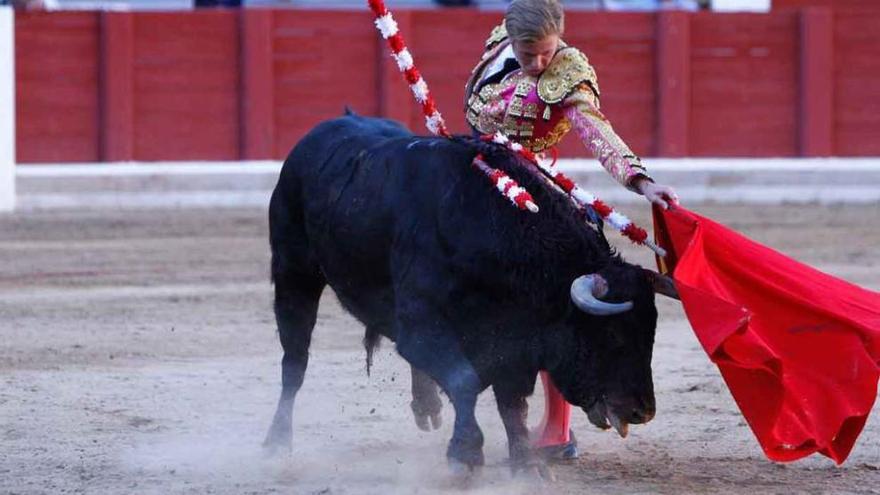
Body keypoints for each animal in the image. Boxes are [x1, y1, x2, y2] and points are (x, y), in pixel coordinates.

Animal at [264, 113, 656, 472]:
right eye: (612, 336)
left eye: (650, 335)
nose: (643, 411)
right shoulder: (421, 327)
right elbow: (464, 380)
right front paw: (465, 454)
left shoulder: (515, 341)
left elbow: (512, 404)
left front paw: (526, 463)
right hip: (293, 274)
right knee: (294, 362)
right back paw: (277, 440)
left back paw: (427, 406)